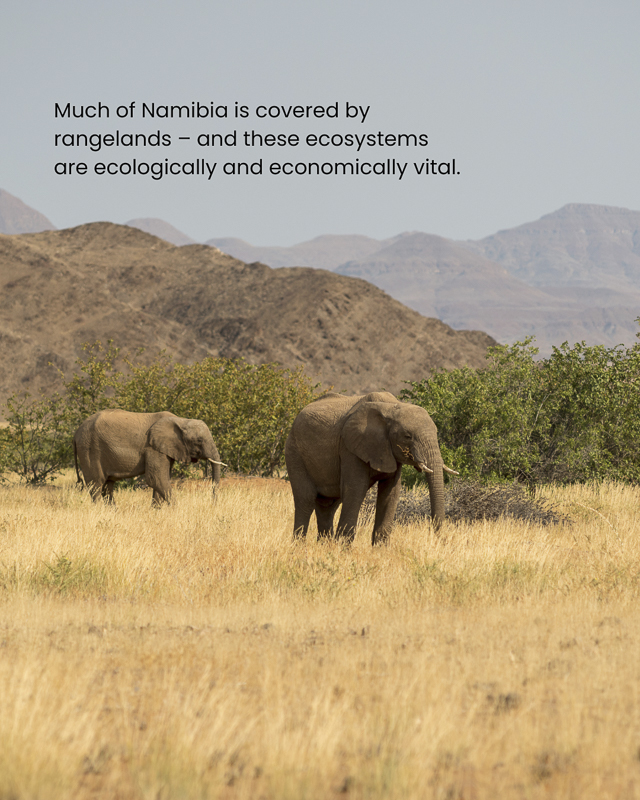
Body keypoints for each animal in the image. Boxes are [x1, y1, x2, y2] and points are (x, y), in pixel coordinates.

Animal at [73, 409, 226, 506]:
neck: (181, 420)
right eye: (199, 440)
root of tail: (76, 433)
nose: (213, 504)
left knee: (107, 485)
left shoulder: (164, 450)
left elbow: (162, 478)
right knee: (96, 484)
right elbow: (156, 478)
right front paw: (177, 509)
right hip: (89, 449)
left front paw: (156, 511)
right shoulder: (153, 448)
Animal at [285, 391, 457, 544]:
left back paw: (324, 546)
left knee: (328, 505)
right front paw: (343, 549)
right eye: (408, 436)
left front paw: (380, 550)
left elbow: (391, 492)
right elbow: (356, 488)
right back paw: (299, 547)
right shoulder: (349, 447)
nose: (441, 540)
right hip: (294, 452)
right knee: (305, 499)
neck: (392, 407)